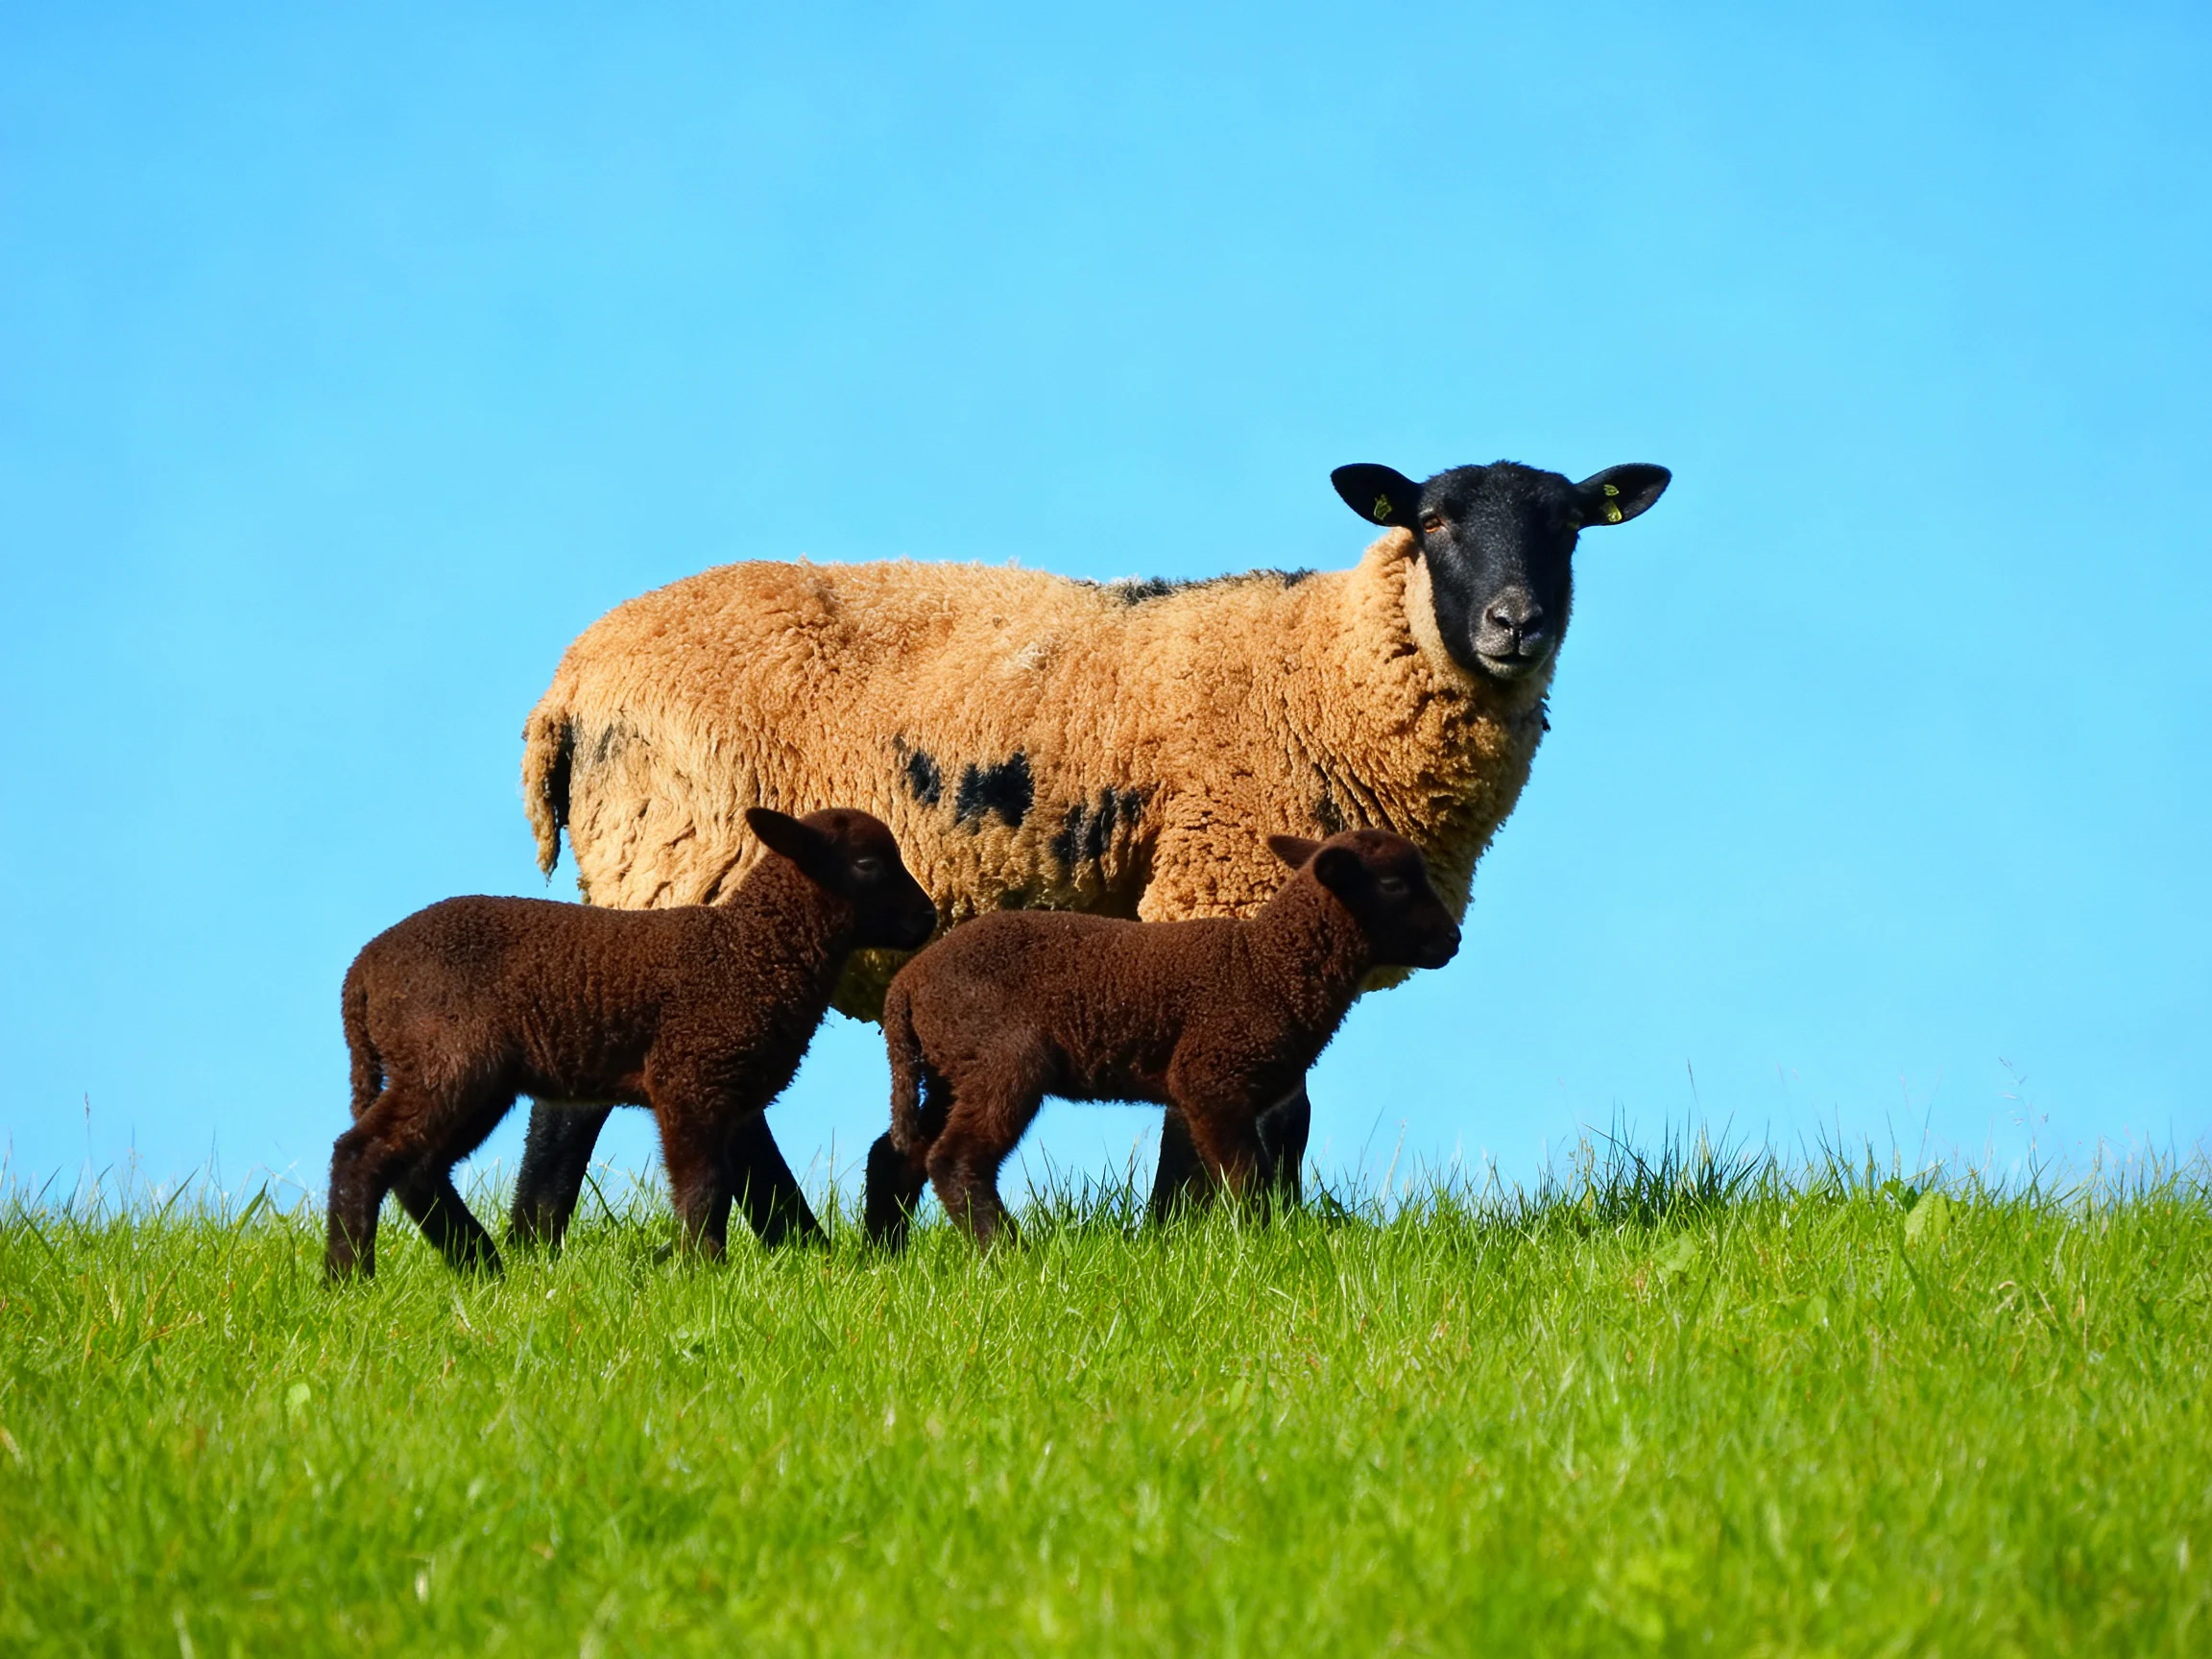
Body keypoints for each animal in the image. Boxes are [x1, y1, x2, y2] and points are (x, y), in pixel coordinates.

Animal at [324, 808, 937, 1279]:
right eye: (867, 864)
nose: (929, 918)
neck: (749, 950)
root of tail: (362, 972)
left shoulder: (730, 1096)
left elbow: (729, 1190)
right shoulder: (687, 1081)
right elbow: (702, 1190)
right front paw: (704, 1274)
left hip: (470, 1078)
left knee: (418, 1169)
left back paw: (481, 1268)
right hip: (446, 1060)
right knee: (364, 1153)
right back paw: (350, 1281)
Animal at [862, 829, 1461, 1248]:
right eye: (1394, 884)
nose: (1454, 940)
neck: (1267, 965)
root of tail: (907, 985)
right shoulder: (1210, 1079)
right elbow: (1246, 1178)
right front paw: (1262, 1246)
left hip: (949, 1067)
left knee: (902, 1154)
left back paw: (888, 1255)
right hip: (1001, 1059)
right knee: (956, 1159)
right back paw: (1010, 1253)